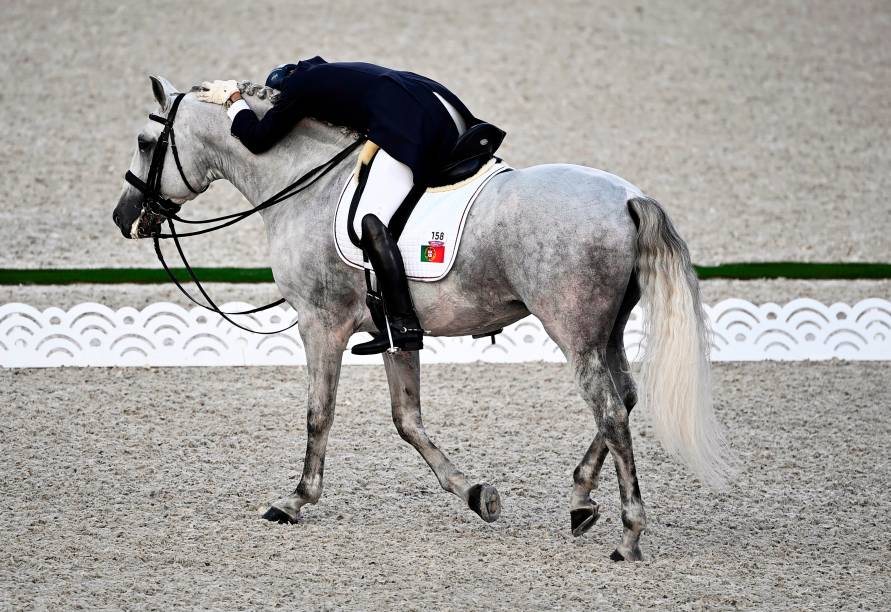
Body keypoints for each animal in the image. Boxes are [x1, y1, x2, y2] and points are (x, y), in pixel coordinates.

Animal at [115, 79, 736, 560]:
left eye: (146, 143)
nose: (124, 218)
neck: (304, 184)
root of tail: (628, 197)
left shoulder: (320, 324)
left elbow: (319, 414)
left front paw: (295, 500)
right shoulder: (393, 331)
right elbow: (407, 420)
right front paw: (476, 494)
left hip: (574, 334)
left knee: (609, 410)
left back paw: (629, 535)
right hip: (607, 331)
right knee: (624, 399)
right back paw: (582, 500)